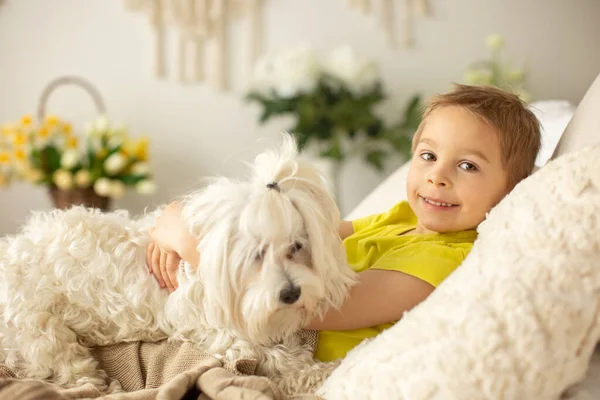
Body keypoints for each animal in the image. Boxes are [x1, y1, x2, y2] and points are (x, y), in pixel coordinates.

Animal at [0, 135, 356, 390]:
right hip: (42, 333)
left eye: (296, 246)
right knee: (72, 371)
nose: (291, 293)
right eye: (256, 254)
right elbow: (277, 359)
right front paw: (322, 372)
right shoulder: (225, 336)